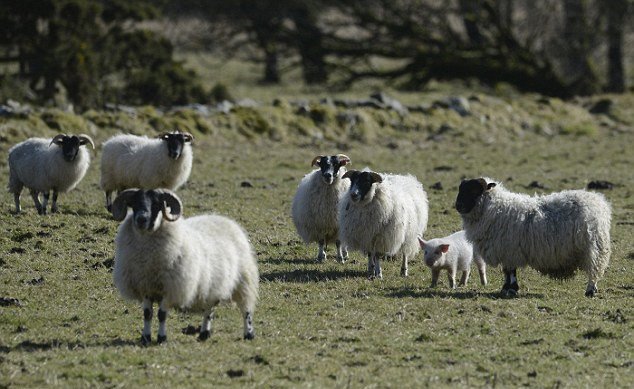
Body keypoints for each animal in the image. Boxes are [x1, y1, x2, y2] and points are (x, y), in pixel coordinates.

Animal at [110, 188, 256, 342]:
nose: (141, 219)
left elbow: (162, 315)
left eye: (157, 204)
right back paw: (204, 334)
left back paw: (248, 334)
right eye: (133, 203)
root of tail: (226, 220)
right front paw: (146, 337)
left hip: (244, 280)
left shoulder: (170, 288)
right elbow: (147, 314)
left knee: (246, 309)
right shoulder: (146, 287)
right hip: (213, 285)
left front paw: (161, 338)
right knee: (209, 310)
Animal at [456, 177, 608, 296]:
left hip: (593, 246)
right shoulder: (506, 251)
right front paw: (506, 288)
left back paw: (590, 291)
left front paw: (511, 289)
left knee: (594, 269)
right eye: (461, 189)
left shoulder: (511, 250)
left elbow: (511, 271)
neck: (495, 208)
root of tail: (597, 201)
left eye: (475, 190)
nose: (458, 205)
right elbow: (506, 271)